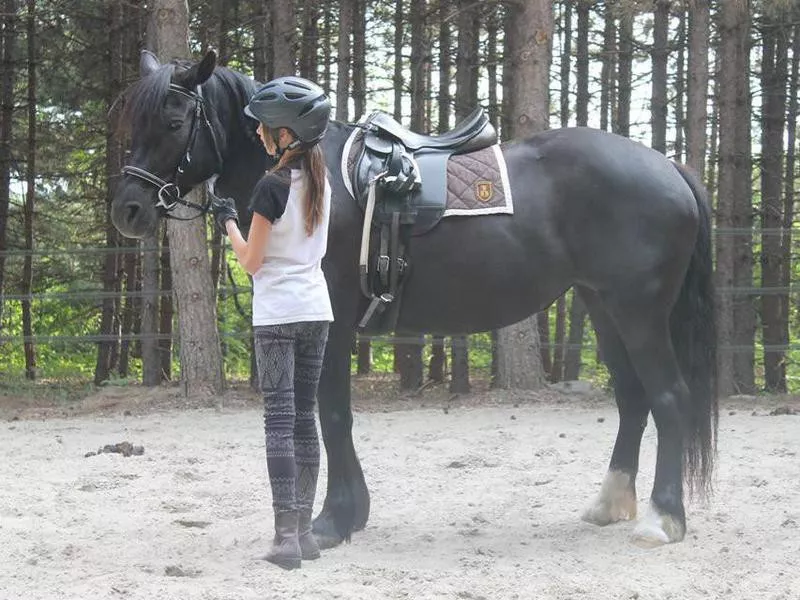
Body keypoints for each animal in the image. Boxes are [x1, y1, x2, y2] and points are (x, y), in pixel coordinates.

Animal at [112, 51, 720, 548]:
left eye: (173, 122)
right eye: (134, 123)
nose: (128, 211)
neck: (310, 175)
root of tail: (670, 166)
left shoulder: (333, 322)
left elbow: (333, 414)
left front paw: (333, 520)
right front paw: (347, 515)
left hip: (638, 313)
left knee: (669, 397)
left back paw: (663, 519)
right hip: (603, 307)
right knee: (633, 400)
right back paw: (610, 504)